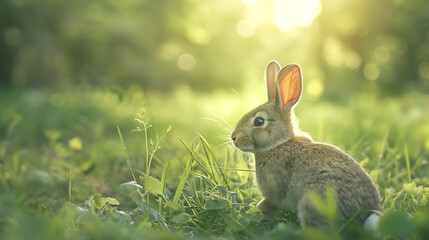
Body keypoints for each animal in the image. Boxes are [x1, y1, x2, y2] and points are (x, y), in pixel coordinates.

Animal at [231, 60, 382, 229]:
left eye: (259, 121)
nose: (234, 137)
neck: (278, 145)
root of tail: (366, 215)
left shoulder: (274, 192)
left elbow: (267, 206)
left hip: (313, 200)